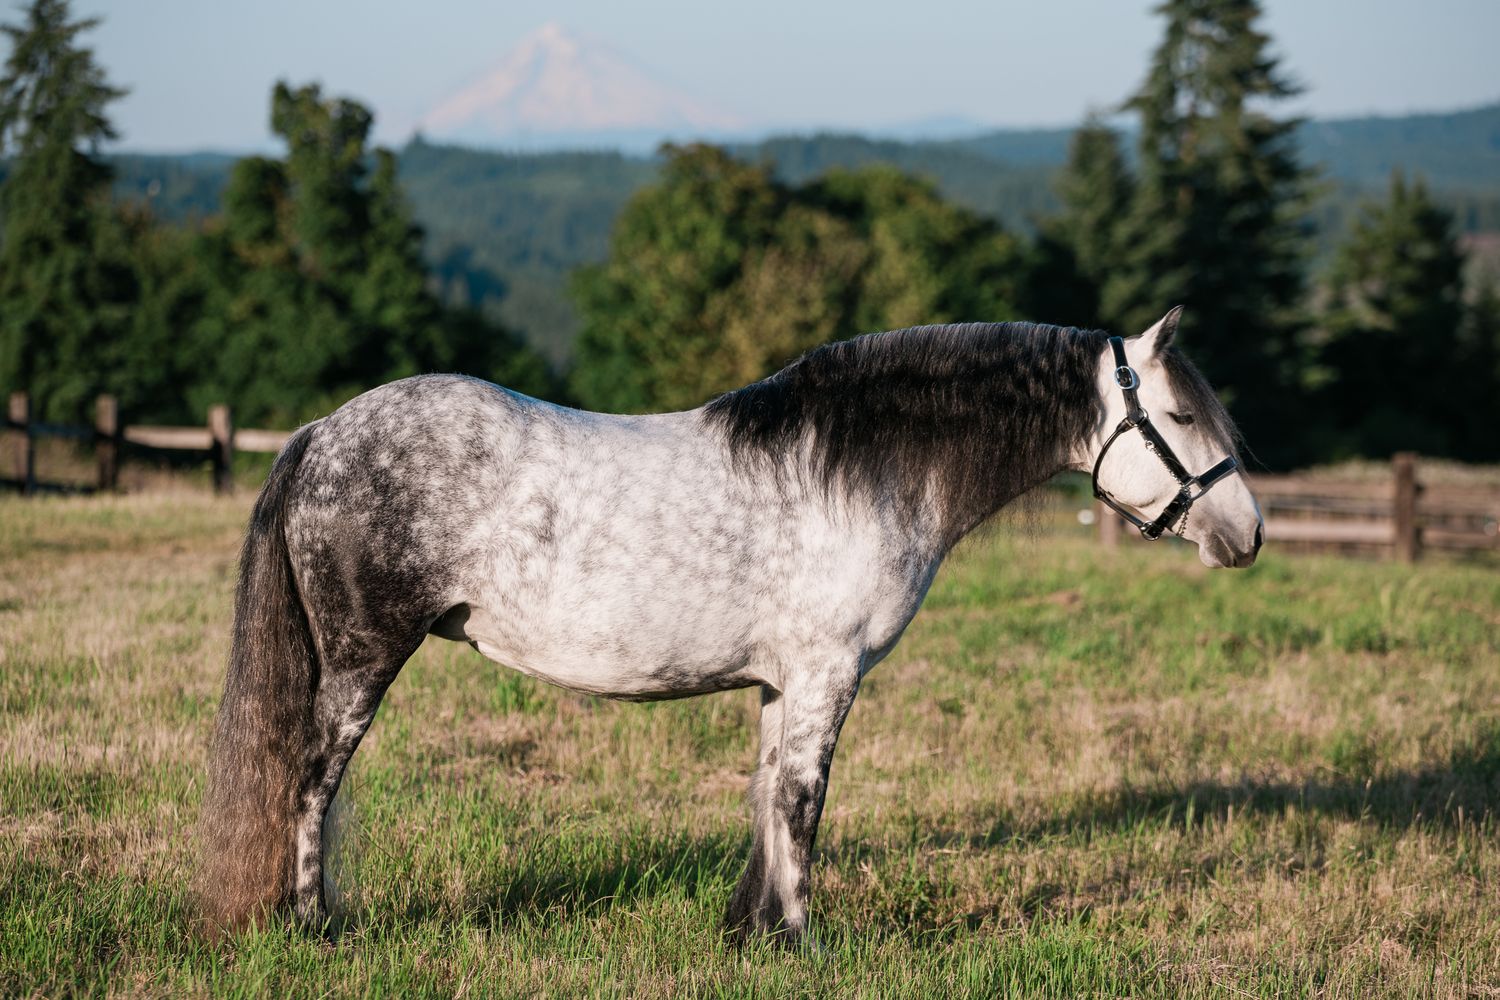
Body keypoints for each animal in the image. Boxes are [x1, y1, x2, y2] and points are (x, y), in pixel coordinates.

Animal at [197, 307, 1262, 943]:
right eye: (1179, 414)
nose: (1246, 533)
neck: (856, 470)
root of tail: (320, 435)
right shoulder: (830, 674)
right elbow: (803, 803)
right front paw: (800, 939)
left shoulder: (783, 680)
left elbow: (765, 797)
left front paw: (751, 931)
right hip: (361, 660)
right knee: (311, 781)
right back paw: (312, 926)